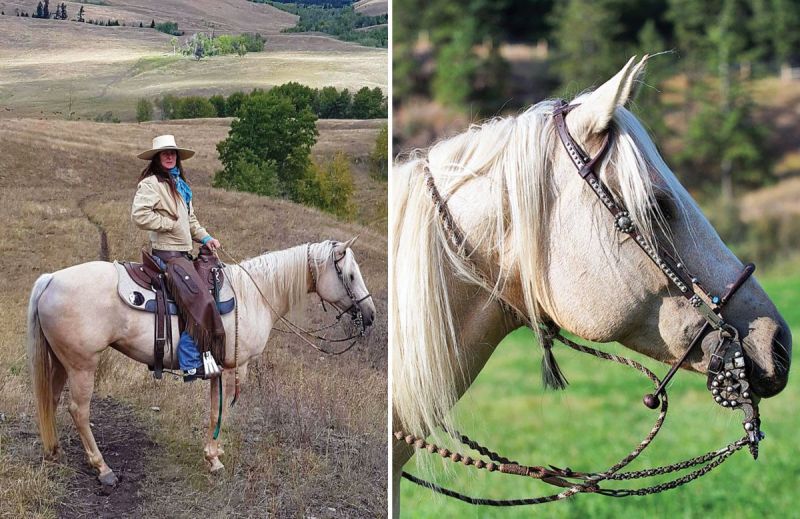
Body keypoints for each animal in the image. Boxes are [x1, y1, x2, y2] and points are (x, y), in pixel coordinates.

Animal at [27, 237, 376, 486]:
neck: (253, 296)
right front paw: (214, 459)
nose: (370, 315)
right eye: (349, 275)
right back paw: (103, 469)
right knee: (78, 411)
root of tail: (50, 279)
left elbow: (214, 411)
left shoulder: (218, 371)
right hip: (82, 365)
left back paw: (55, 451)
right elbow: (221, 412)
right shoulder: (235, 369)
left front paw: (214, 453)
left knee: (52, 399)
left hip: (61, 362)